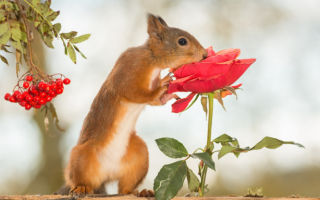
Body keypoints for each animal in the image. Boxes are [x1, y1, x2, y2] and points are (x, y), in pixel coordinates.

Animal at [64, 13, 208, 195]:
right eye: (182, 41)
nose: (205, 55)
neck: (152, 59)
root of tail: (106, 174)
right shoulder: (129, 69)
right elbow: (132, 91)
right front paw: (162, 85)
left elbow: (155, 101)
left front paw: (166, 93)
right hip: (82, 157)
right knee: (78, 178)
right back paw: (82, 187)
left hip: (139, 157)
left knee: (125, 188)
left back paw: (140, 192)